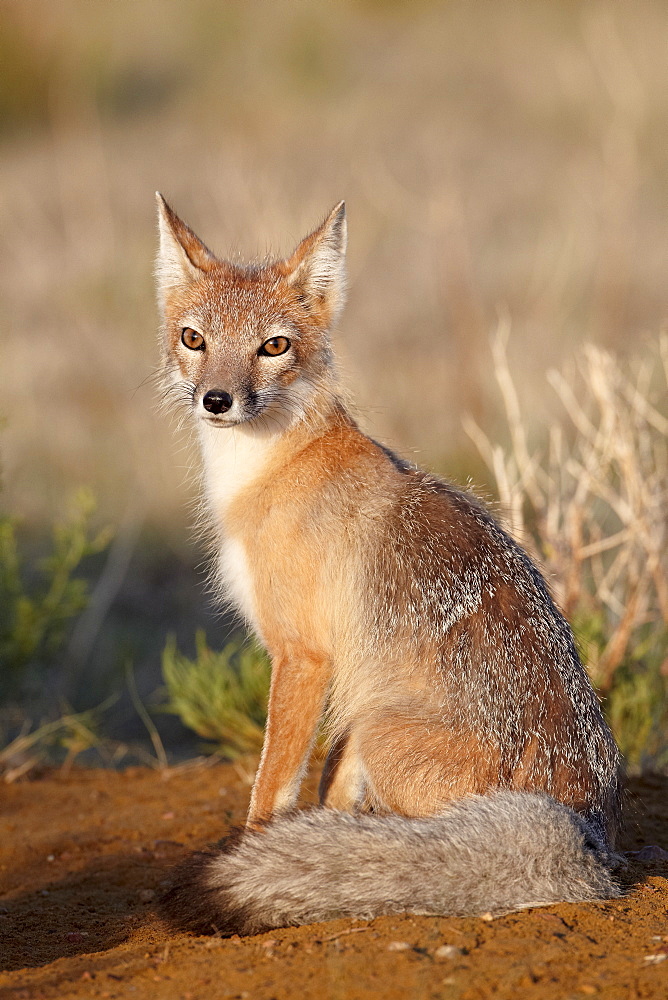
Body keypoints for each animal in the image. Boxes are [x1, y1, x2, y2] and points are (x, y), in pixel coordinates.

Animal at [155, 197, 620, 936]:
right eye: (194, 339)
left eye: (273, 347)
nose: (217, 400)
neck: (267, 470)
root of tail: (589, 829)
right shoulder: (342, 673)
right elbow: (327, 788)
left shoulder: (304, 655)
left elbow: (272, 786)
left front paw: (260, 855)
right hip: (371, 718)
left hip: (379, 726)